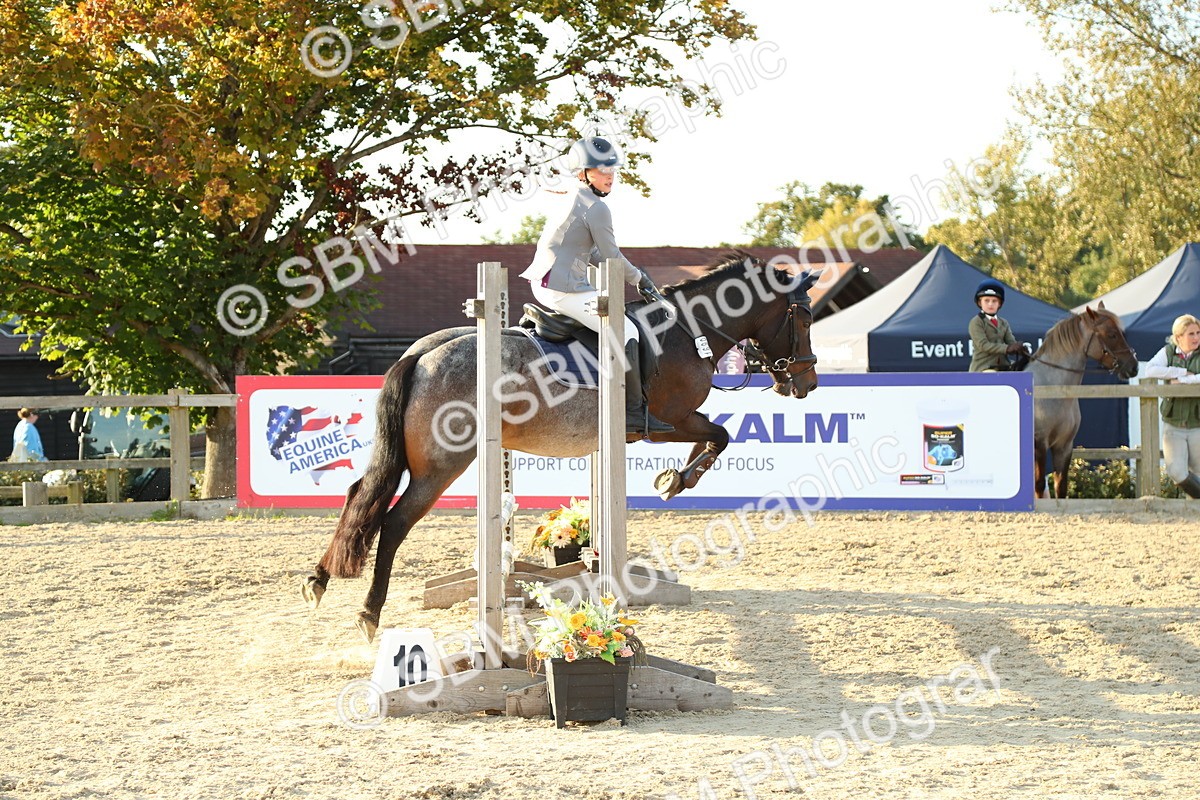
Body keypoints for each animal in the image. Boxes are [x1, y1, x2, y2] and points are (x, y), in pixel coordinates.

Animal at [303, 254, 821, 641]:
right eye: (806, 317)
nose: (807, 384)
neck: (685, 331)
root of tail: (421, 353)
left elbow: (715, 437)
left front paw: (674, 477)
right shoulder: (669, 422)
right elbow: (719, 435)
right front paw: (677, 480)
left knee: (359, 495)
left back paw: (319, 579)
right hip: (441, 466)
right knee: (393, 523)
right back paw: (368, 614)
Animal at [1023, 303, 1138, 498]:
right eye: (1112, 334)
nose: (1134, 367)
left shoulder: (1064, 446)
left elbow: (1060, 487)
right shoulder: (1039, 443)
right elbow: (1038, 487)